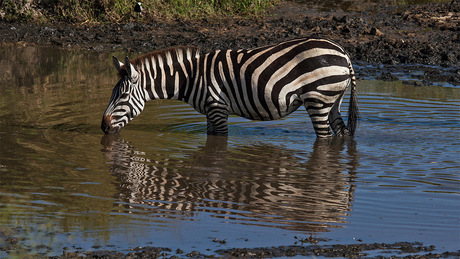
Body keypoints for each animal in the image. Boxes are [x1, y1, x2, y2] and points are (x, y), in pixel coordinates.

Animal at [100, 37, 360, 138]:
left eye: (123, 96)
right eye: (112, 94)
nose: (103, 127)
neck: (191, 77)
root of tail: (343, 52)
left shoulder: (217, 107)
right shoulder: (210, 111)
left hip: (318, 100)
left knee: (325, 138)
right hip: (333, 101)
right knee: (342, 134)